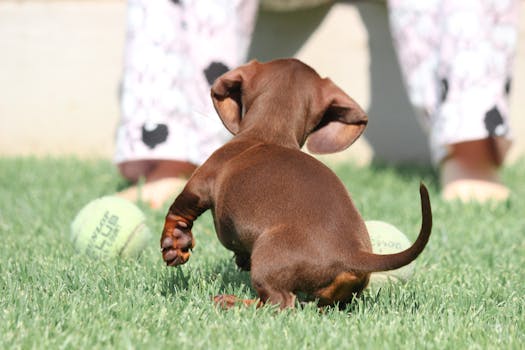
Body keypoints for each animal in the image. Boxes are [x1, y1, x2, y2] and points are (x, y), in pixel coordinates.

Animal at [160, 58, 430, 308]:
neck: (269, 132)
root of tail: (351, 253)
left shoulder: (201, 183)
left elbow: (178, 210)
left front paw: (174, 242)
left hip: (268, 257)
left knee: (279, 302)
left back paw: (230, 302)